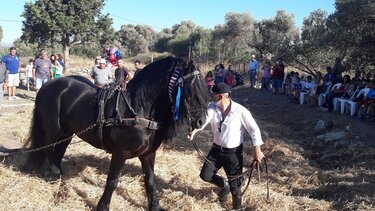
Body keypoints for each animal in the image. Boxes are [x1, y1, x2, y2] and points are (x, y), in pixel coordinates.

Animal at [23, 56, 210, 210]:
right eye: (190, 88)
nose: (201, 121)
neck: (137, 109)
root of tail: (47, 85)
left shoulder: (149, 154)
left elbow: (150, 181)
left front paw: (155, 206)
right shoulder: (120, 153)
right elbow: (112, 181)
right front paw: (103, 206)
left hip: (67, 132)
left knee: (59, 149)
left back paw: (59, 175)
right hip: (53, 130)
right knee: (48, 148)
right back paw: (54, 174)